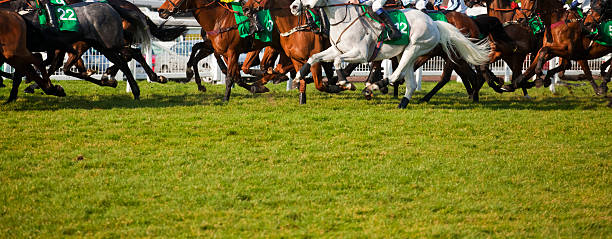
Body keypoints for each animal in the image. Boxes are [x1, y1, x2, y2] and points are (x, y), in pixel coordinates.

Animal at [290, 0, 490, 108]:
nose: (293, 6)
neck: (345, 19)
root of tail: (434, 23)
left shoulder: (361, 53)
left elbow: (339, 62)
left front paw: (345, 83)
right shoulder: (337, 49)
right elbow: (314, 57)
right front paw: (299, 76)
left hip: (415, 48)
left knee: (395, 75)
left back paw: (373, 87)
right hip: (407, 54)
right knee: (409, 81)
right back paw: (403, 102)